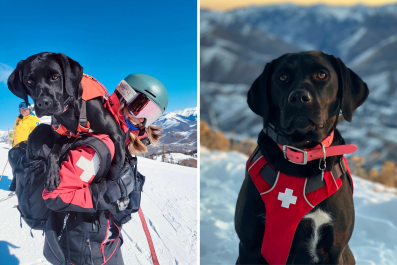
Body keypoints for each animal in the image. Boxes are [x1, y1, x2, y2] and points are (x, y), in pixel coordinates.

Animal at [7, 52, 125, 191]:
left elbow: (117, 164)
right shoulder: (61, 138)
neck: (70, 110)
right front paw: (52, 175)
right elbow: (52, 154)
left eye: (55, 77)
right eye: (29, 81)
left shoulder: (117, 134)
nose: (43, 103)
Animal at [235, 50, 368, 262]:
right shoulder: (249, 245)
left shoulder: (334, 250)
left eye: (322, 75)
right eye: (282, 77)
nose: (298, 97)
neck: (300, 152)